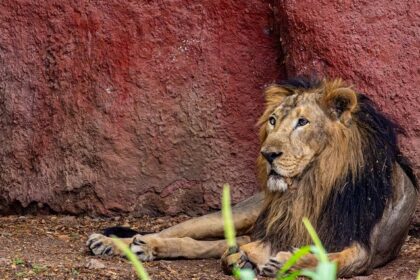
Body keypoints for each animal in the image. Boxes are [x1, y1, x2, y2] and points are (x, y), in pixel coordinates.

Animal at [86, 77, 416, 278]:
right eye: (272, 121)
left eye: (303, 122)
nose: (268, 154)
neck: (311, 185)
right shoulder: (274, 233)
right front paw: (250, 259)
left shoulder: (362, 250)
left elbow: (330, 259)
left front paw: (285, 261)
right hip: (239, 214)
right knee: (175, 231)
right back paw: (114, 242)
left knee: (206, 244)